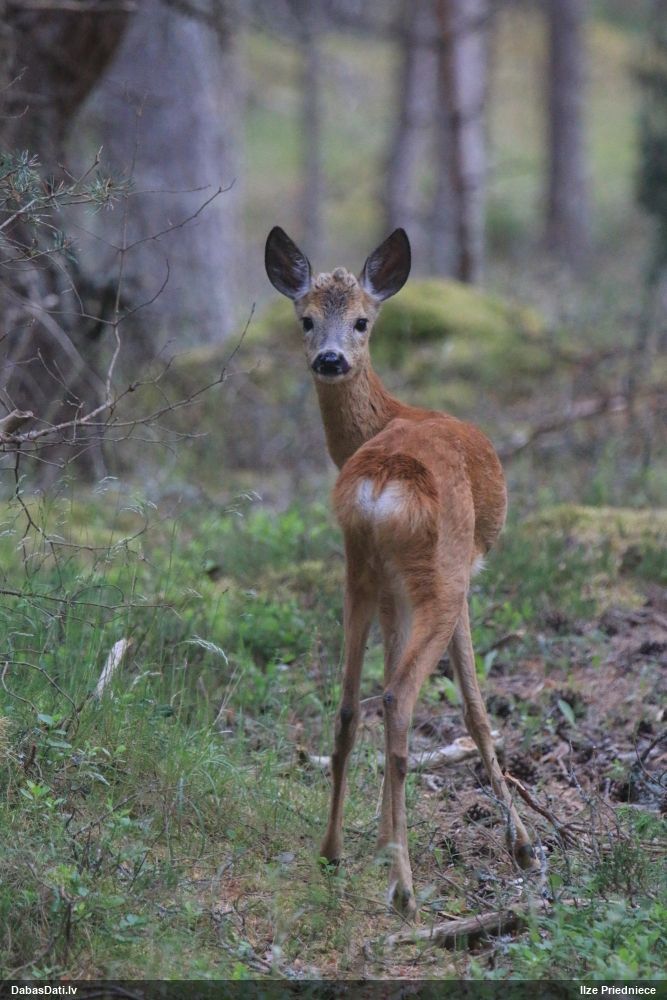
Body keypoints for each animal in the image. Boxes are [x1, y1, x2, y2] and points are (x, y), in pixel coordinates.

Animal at [264, 226, 538, 918]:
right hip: (441, 577)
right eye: (306, 319)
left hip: (358, 570)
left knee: (347, 703)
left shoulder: (391, 591)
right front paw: (522, 845)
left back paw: (333, 852)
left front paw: (380, 833)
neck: (391, 414)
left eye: (362, 320)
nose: (330, 358)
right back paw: (405, 887)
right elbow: (476, 711)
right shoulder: (466, 577)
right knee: (398, 697)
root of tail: (382, 481)